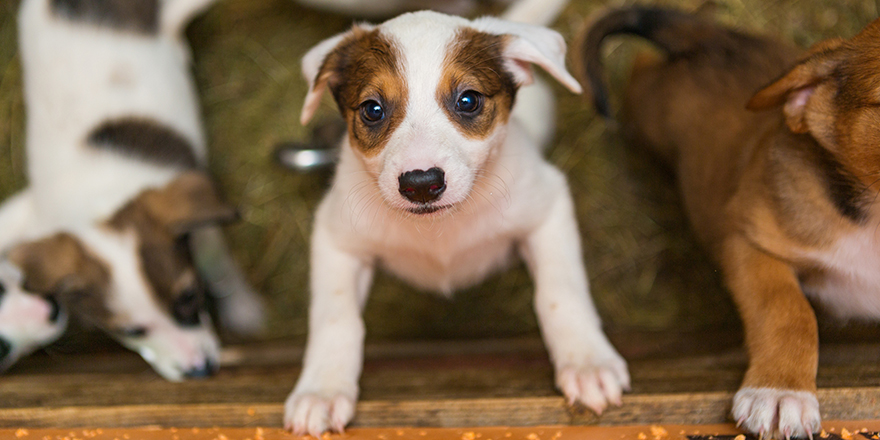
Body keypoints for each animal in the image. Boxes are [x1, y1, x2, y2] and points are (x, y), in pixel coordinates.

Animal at [0, 0, 262, 378]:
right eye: (131, 331)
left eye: (189, 298)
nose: (200, 370)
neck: (100, 202)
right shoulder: (33, 212)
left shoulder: (201, 227)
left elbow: (219, 266)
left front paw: (244, 307)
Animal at [282, 0, 624, 436]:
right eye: (372, 110)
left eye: (468, 101)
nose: (421, 184)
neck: (439, 231)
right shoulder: (335, 236)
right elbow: (335, 318)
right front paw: (322, 390)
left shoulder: (548, 207)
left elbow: (560, 293)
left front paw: (587, 361)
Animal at [580, 6, 880, 440]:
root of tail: (714, 38)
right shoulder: (749, 241)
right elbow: (788, 311)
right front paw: (781, 391)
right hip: (649, 104)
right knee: (640, 69)